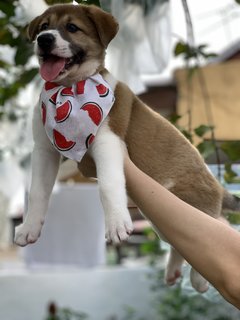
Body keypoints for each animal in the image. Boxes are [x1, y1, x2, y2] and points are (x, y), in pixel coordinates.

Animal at [14, 3, 240, 292]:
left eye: (72, 27)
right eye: (44, 27)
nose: (44, 40)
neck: (70, 90)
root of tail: (218, 189)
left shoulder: (107, 141)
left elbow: (108, 185)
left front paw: (116, 224)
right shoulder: (44, 150)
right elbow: (38, 193)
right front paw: (29, 227)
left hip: (186, 203)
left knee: (217, 226)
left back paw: (199, 279)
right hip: (162, 216)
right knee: (188, 238)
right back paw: (174, 271)